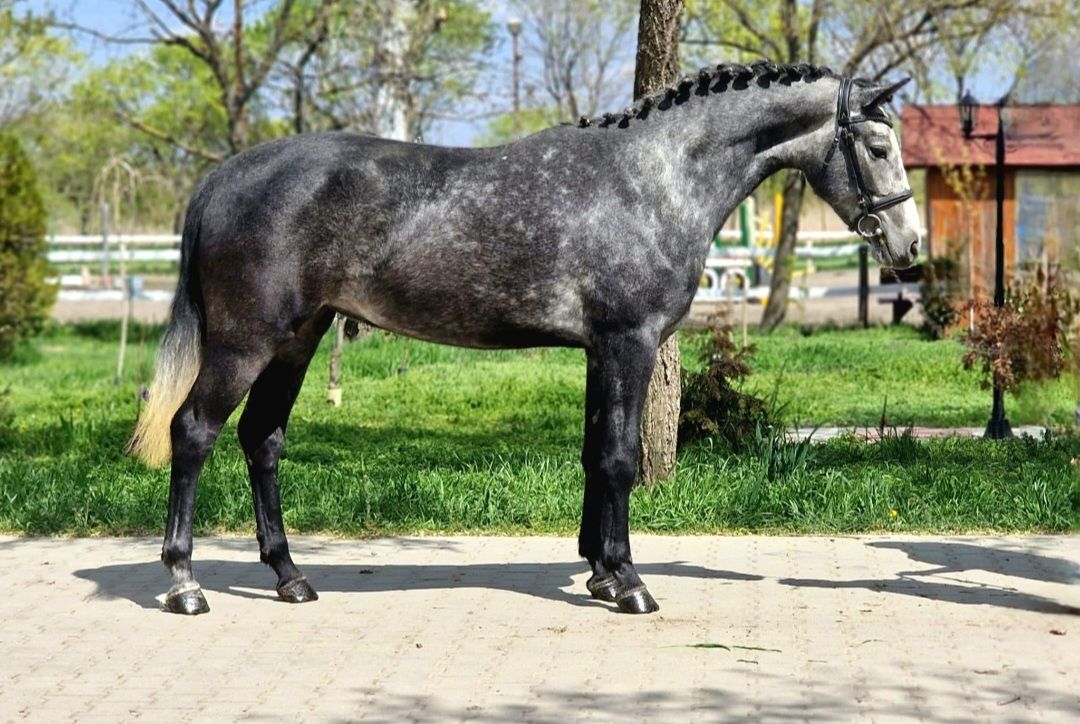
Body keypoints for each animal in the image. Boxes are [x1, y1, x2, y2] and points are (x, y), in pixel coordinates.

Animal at [130, 61, 921, 616]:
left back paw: (290, 577)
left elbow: (595, 456)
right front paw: (630, 582)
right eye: (878, 144)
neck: (653, 179)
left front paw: (600, 572)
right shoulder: (629, 343)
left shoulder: (601, 352)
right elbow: (621, 459)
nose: (909, 245)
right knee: (193, 431)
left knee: (261, 439)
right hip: (246, 344)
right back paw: (186, 582)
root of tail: (223, 178)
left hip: (297, 340)